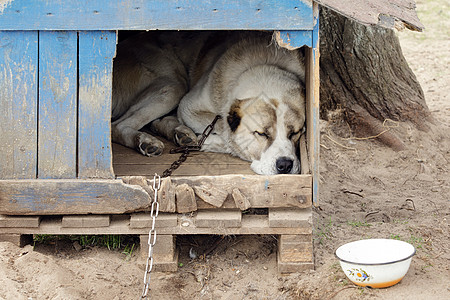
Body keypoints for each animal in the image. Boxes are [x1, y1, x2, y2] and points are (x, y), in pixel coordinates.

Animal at [111, 30, 306, 175]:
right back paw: (145, 141)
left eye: (295, 133)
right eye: (261, 134)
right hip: (173, 86)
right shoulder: (188, 106)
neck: (264, 65)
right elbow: (224, 129)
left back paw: (179, 133)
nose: (285, 165)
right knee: (116, 125)